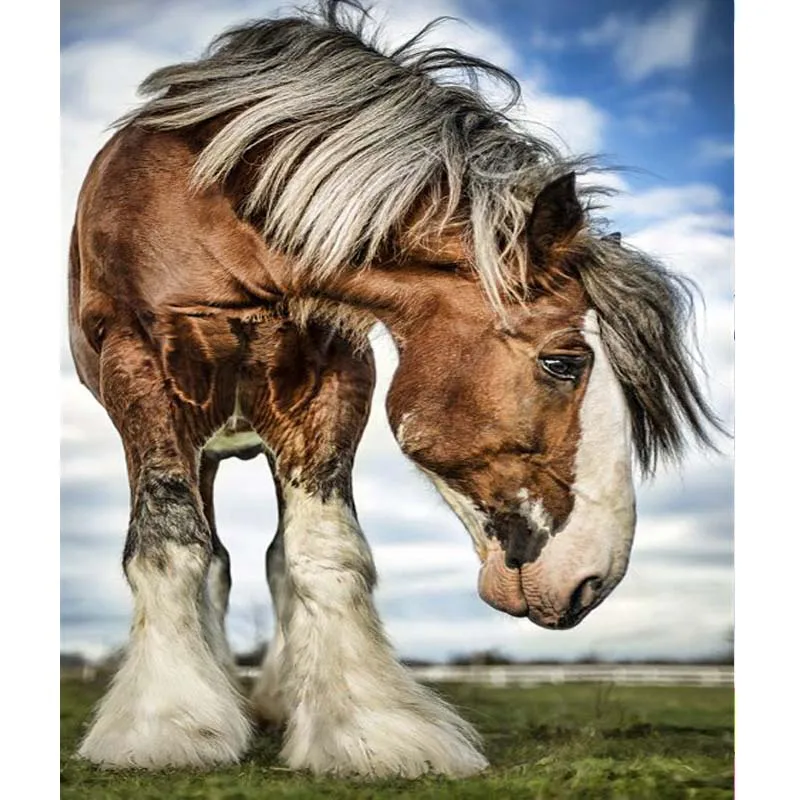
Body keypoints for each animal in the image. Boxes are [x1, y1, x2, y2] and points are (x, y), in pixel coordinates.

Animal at [67, 0, 721, 779]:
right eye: (564, 362)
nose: (593, 578)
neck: (219, 203)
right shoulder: (140, 366)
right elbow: (170, 545)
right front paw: (169, 727)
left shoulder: (332, 376)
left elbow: (324, 552)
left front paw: (368, 730)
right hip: (199, 442)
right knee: (213, 558)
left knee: (273, 561)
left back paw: (279, 701)